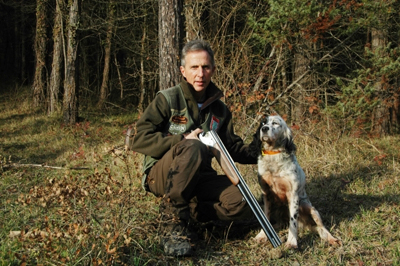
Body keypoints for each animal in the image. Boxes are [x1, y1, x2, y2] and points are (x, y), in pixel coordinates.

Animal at [250, 115, 340, 249]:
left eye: (275, 123)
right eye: (263, 123)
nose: (264, 128)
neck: (273, 155)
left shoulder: (292, 195)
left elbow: (293, 222)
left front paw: (292, 242)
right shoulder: (266, 194)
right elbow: (265, 217)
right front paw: (262, 235)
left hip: (310, 209)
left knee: (322, 228)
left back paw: (332, 239)